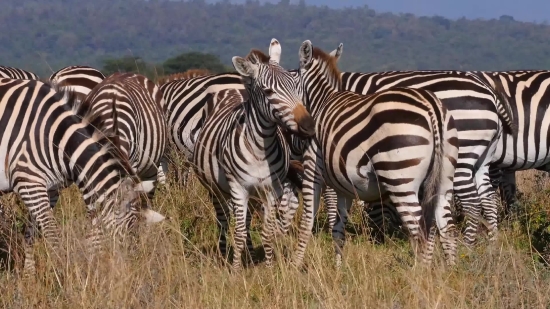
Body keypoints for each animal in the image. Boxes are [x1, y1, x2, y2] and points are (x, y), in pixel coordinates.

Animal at [0, 77, 166, 274]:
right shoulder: (28, 180)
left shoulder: (50, 188)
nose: (127, 274)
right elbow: (52, 232)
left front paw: (29, 275)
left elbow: (32, 230)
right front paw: (61, 273)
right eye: (124, 238)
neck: (57, 139)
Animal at [193, 40, 314, 270]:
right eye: (267, 91)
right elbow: (239, 233)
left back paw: (249, 254)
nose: (308, 126)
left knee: (247, 221)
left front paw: (269, 268)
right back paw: (225, 254)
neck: (260, 148)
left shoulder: (271, 189)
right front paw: (235, 270)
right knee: (223, 221)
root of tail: (231, 90)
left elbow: (267, 233)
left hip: (253, 194)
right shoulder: (238, 187)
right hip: (216, 190)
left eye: (297, 87)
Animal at [294, 40, 462, 268]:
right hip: (444, 176)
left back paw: (419, 273)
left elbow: (307, 222)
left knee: (420, 229)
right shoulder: (345, 187)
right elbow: (338, 229)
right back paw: (448, 271)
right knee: (447, 227)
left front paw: (293, 267)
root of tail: (432, 106)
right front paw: (338, 269)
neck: (322, 101)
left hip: (399, 178)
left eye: (291, 79)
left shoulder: (313, 171)